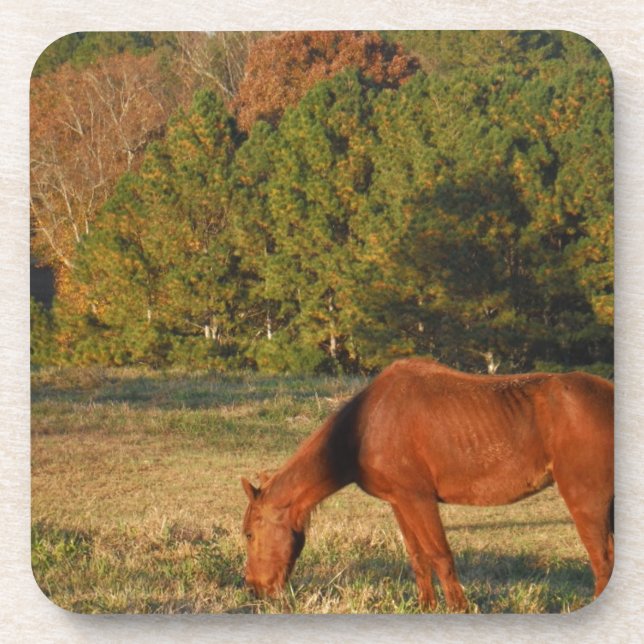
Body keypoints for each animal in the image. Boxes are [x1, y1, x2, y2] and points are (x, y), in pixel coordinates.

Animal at [241, 358, 614, 611]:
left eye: (249, 534)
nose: (254, 589)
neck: (367, 425)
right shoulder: (400, 502)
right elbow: (418, 558)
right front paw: (426, 607)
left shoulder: (419, 499)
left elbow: (440, 555)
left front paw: (459, 609)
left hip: (585, 500)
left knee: (602, 560)